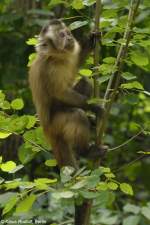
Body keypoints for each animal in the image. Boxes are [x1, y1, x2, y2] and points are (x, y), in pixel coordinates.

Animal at [29, 18, 104, 168]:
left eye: (68, 33)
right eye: (62, 35)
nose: (70, 38)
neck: (56, 57)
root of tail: (47, 131)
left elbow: (76, 63)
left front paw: (91, 39)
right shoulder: (50, 69)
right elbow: (60, 93)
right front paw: (95, 108)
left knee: (86, 83)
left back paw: (91, 121)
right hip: (55, 125)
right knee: (76, 115)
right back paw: (85, 152)